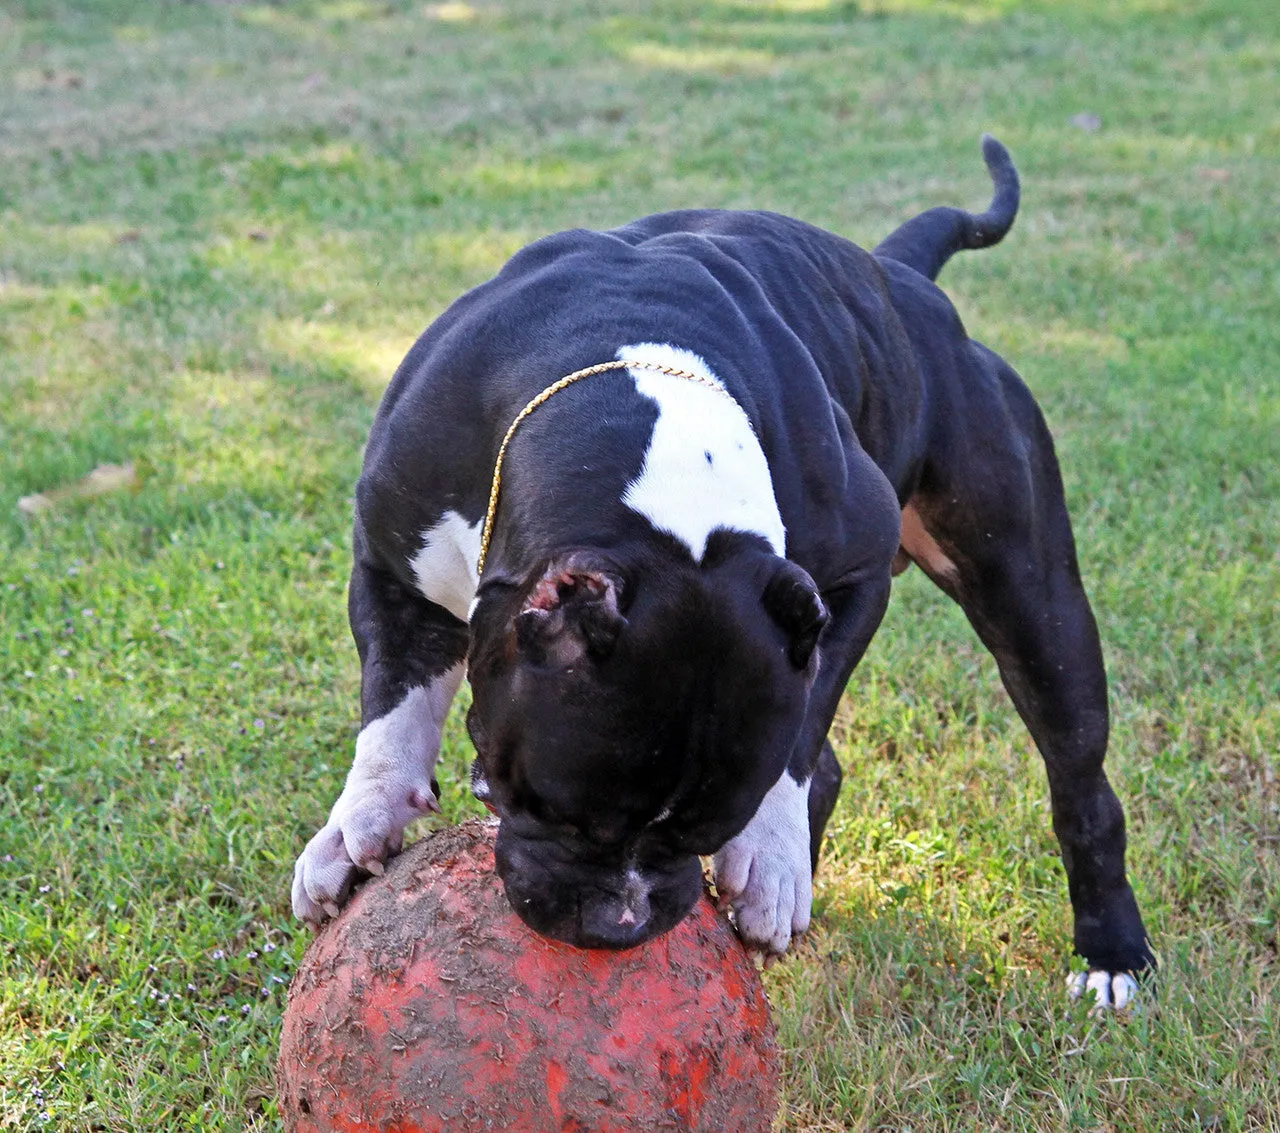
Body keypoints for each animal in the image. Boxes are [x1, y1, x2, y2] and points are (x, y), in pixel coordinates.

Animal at [294, 136, 1157, 1013]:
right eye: (561, 812)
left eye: (702, 830)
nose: (617, 927)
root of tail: (896, 273)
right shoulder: (389, 564)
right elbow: (393, 705)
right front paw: (359, 818)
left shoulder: (853, 575)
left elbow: (799, 740)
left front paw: (768, 856)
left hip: (1032, 596)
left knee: (1078, 776)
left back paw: (1109, 952)